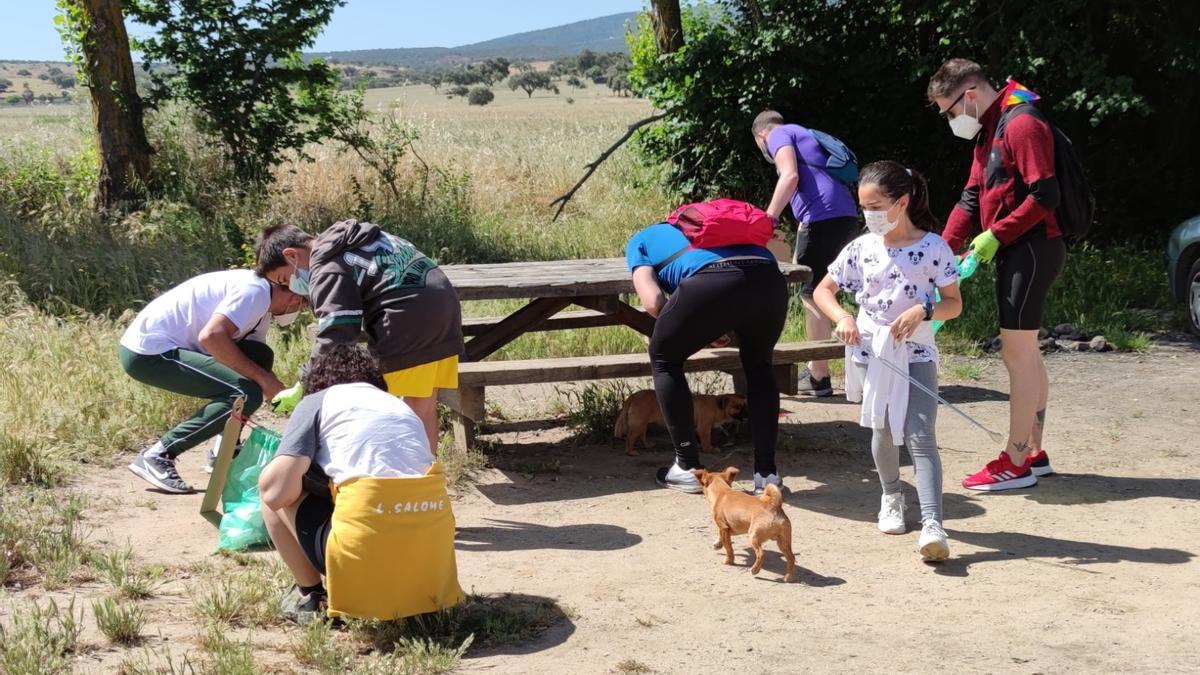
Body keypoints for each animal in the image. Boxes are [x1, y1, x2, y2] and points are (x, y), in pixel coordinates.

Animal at [614, 386, 744, 454]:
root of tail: (634, 396)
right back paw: (630, 451)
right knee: (630, 437)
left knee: (642, 436)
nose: (746, 413)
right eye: (736, 407)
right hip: (638, 424)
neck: (716, 406)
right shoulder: (704, 428)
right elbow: (706, 440)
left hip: (642, 424)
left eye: (744, 405)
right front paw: (709, 449)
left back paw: (647, 446)